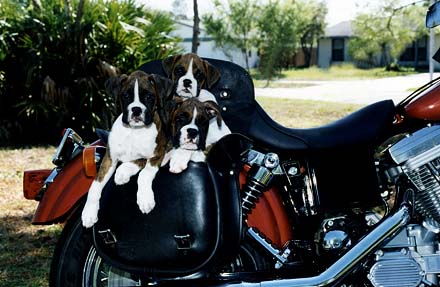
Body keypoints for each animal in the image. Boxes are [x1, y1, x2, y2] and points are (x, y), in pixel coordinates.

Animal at [81, 71, 173, 228]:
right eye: (126, 96)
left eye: (149, 97)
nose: (136, 110)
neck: (133, 131)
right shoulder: (109, 159)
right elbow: (95, 185)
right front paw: (89, 213)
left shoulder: (156, 154)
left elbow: (144, 172)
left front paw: (144, 198)